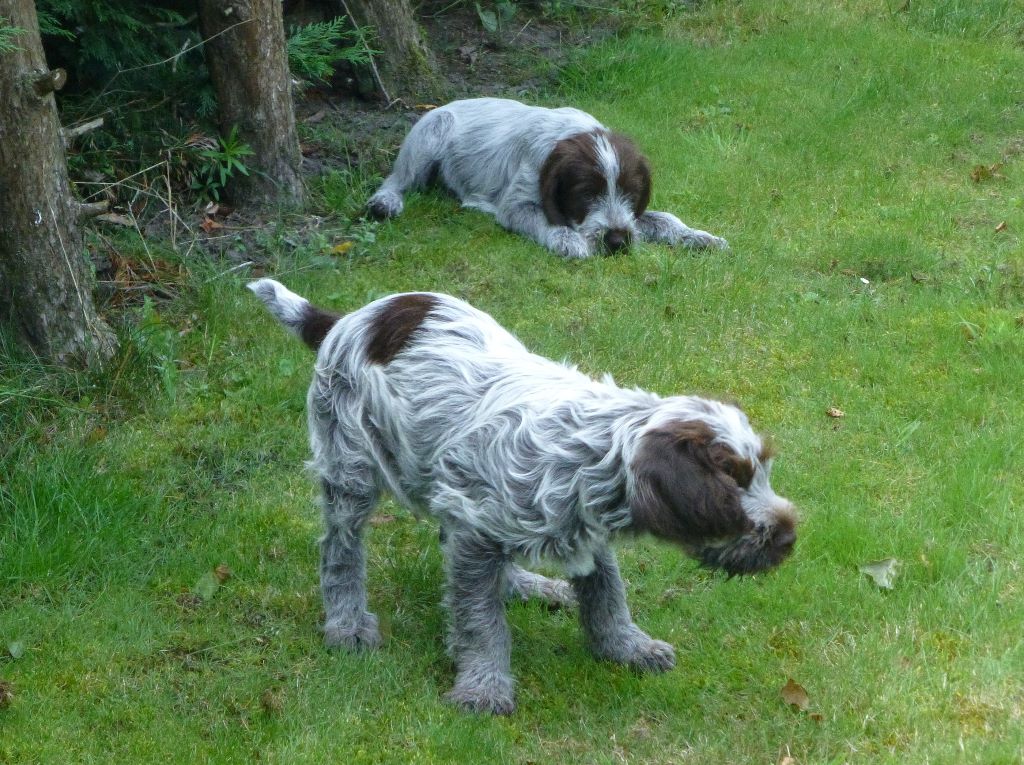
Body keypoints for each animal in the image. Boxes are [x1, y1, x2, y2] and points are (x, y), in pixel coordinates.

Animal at [247, 278, 790, 716]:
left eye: (762, 471)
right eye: (731, 485)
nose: (789, 538)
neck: (592, 448)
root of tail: (347, 319)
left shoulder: (574, 525)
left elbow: (607, 595)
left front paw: (624, 647)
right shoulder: (476, 529)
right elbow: (480, 623)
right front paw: (483, 687)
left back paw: (527, 586)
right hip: (351, 468)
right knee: (340, 549)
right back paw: (347, 624)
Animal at [368, 98, 729, 259]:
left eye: (631, 193)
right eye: (586, 194)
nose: (616, 242)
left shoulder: (630, 217)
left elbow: (663, 218)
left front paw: (698, 236)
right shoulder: (516, 205)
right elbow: (546, 219)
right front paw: (569, 240)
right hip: (433, 129)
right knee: (396, 179)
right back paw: (385, 202)